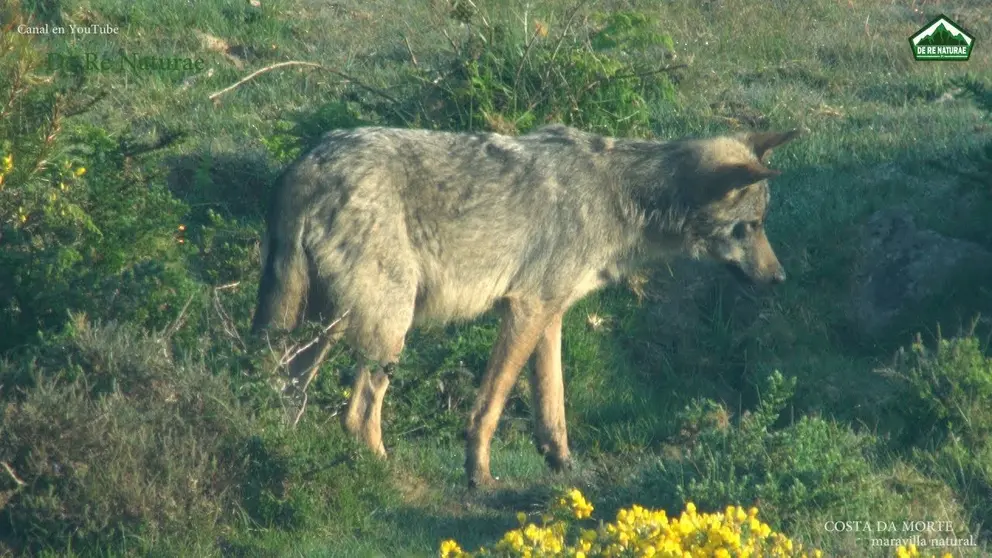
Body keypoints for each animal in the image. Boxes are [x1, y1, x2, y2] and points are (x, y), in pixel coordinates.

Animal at [252, 124, 804, 488]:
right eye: (751, 226)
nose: (780, 278)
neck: (619, 197)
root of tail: (307, 164)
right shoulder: (524, 308)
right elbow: (491, 405)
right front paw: (478, 477)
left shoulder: (550, 314)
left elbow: (552, 405)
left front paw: (563, 466)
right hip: (387, 330)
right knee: (358, 413)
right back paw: (382, 473)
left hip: (321, 329)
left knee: (285, 386)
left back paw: (282, 450)